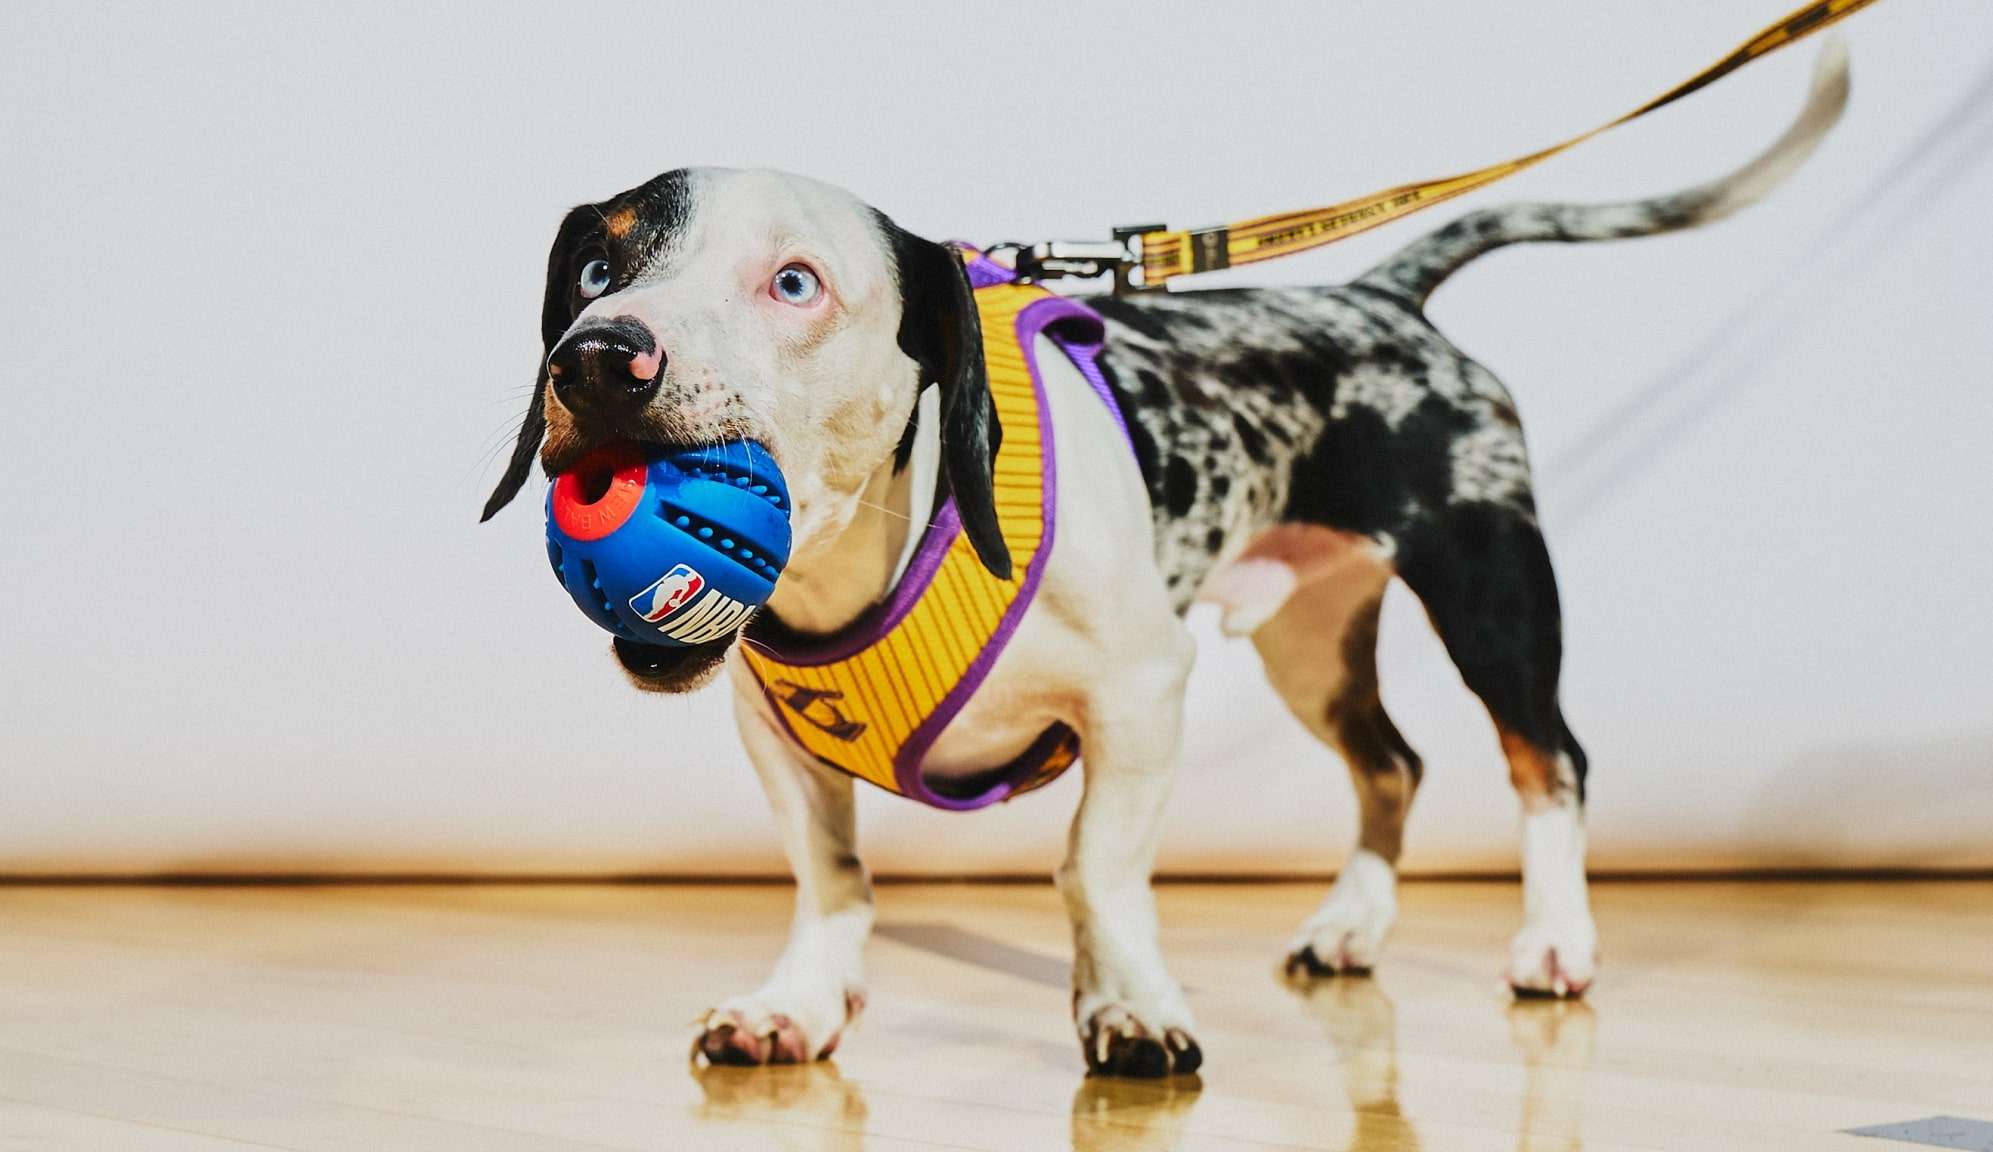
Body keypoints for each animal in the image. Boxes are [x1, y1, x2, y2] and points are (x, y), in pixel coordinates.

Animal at [486, 40, 1849, 1068]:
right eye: (598, 264)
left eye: (794, 283)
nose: (597, 360)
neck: (876, 557)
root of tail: (1382, 296)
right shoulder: (778, 737)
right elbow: (832, 878)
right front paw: (801, 1004)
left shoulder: (1141, 697)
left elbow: (1094, 870)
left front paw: (1130, 1006)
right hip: (1310, 642)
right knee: (1392, 765)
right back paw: (1352, 925)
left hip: (1492, 595)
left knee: (1547, 761)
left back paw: (1555, 942)